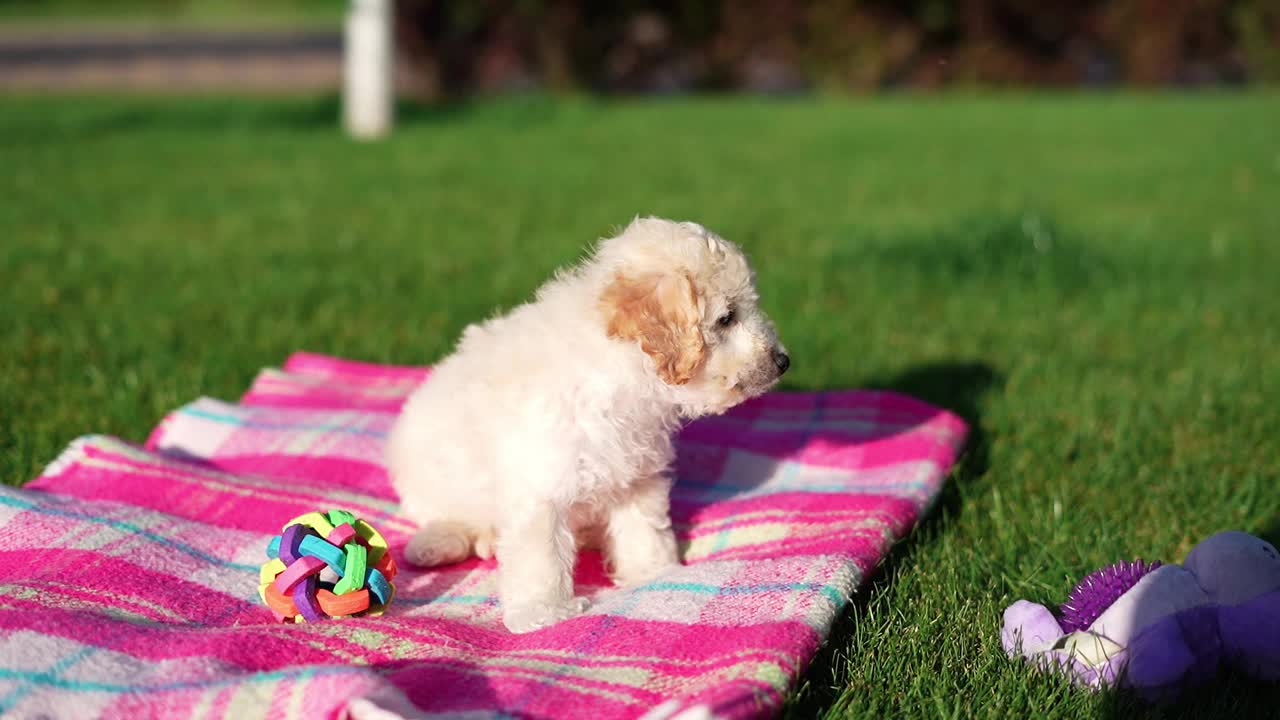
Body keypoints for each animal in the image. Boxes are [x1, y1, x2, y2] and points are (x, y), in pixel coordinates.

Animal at [384, 215, 788, 630]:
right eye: (727, 318)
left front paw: (654, 573)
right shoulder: (540, 485)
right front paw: (543, 612)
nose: (783, 361)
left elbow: (644, 528)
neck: (621, 370)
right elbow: (541, 556)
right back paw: (438, 543)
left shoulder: (637, 475)